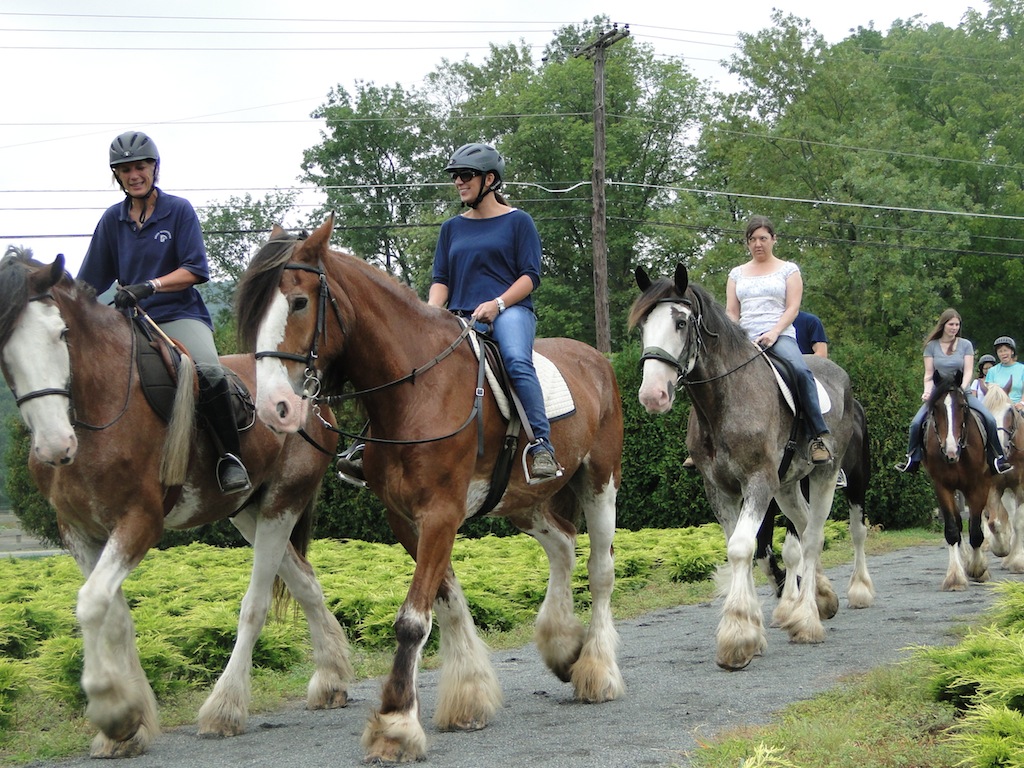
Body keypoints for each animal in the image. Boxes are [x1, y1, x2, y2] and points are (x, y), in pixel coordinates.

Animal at [0, 249, 352, 761]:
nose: (53, 445)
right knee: (305, 583)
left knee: (257, 603)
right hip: (249, 512)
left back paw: (225, 708)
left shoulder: (140, 522)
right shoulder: (80, 533)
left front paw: (112, 710)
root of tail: (310, 393)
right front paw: (128, 725)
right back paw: (331, 680)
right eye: (4, 349)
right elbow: (114, 617)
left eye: (60, 334)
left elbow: (91, 605)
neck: (97, 410)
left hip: (282, 504)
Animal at [235, 215, 626, 765]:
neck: (417, 391)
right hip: (521, 503)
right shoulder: (406, 518)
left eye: (298, 302)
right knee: (564, 544)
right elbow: (446, 601)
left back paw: (597, 670)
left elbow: (413, 620)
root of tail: (597, 359)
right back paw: (562, 646)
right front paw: (468, 698)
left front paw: (395, 724)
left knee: (600, 570)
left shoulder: (440, 513)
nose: (274, 407)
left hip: (600, 480)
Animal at [626, 266, 860, 671]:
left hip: (822, 475)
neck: (724, 400)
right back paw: (819, 599)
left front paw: (736, 638)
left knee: (813, 537)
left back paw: (807, 620)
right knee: (802, 529)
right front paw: (751, 632)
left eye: (681, 322)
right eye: (643, 326)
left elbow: (740, 548)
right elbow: (740, 547)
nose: (652, 395)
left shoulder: (758, 483)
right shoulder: (720, 489)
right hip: (786, 486)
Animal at [921, 370, 991, 593]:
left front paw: (978, 569)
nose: (950, 452)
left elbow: (976, 529)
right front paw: (955, 577)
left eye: (962, 406)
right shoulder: (942, 486)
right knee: (959, 525)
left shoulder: (979, 486)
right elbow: (953, 529)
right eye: (935, 407)